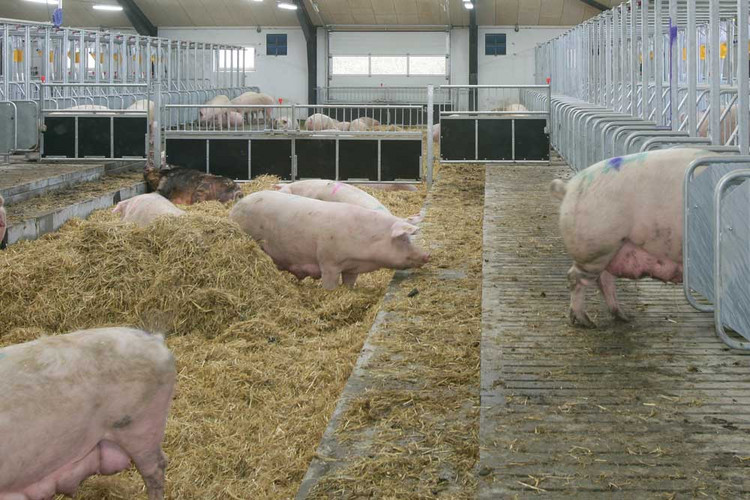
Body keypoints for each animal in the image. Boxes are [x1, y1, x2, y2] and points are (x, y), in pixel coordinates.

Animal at [229, 191, 432, 290]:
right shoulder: (329, 261)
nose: (427, 255)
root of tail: (235, 208)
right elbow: (329, 284)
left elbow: (349, 284)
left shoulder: (352, 268)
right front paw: (329, 293)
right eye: (404, 239)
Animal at [552, 148, 716, 328]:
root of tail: (569, 187)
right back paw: (586, 322)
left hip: (610, 250)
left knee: (604, 279)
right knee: (575, 278)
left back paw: (623, 317)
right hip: (597, 248)